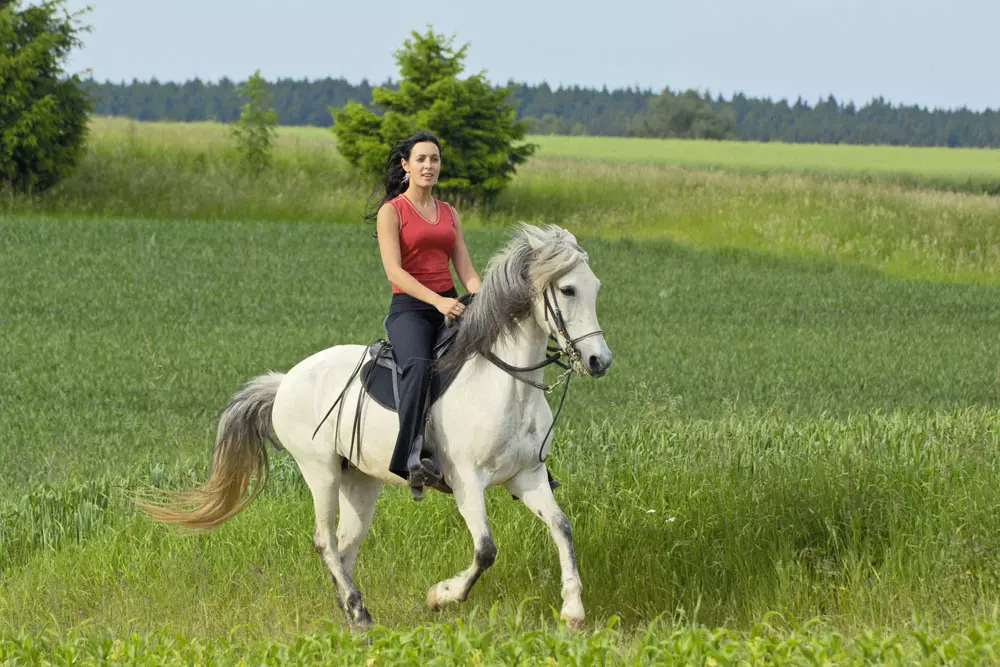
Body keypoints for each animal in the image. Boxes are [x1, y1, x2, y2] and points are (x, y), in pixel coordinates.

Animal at [141, 224, 608, 632]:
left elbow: (562, 527)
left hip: (361, 481)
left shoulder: (528, 476)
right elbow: (485, 550)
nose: (599, 361)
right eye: (568, 290)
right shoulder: (467, 481)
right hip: (321, 472)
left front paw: (573, 611)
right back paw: (360, 614)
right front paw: (441, 596)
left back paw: (351, 612)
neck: (504, 383)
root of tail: (285, 380)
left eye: (596, 287)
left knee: (345, 546)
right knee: (325, 541)